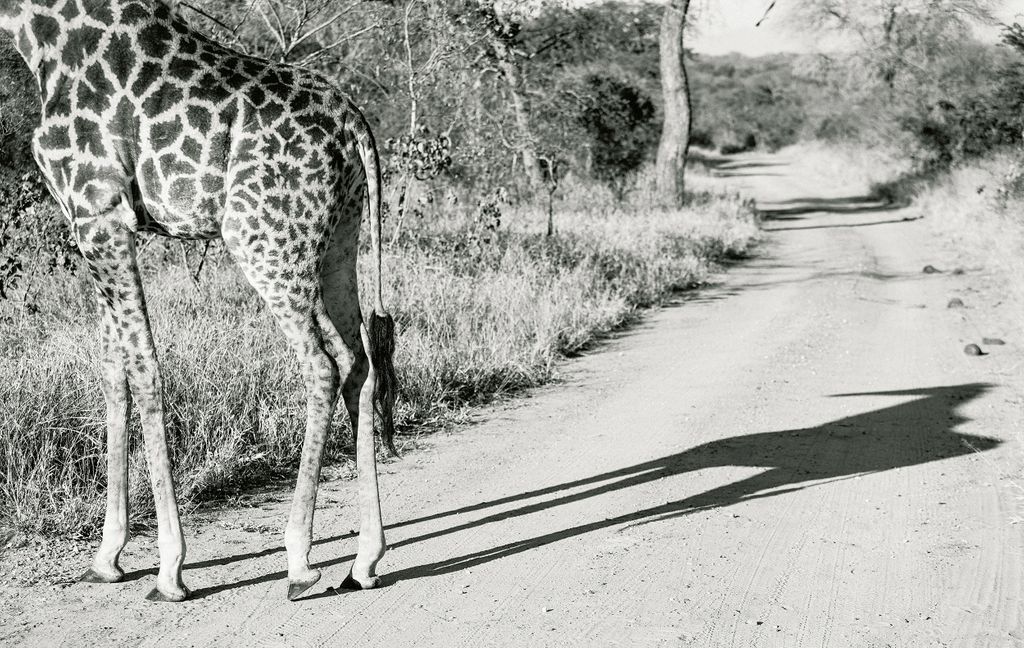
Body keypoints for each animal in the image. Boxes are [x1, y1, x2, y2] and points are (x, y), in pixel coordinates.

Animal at [0, 0, 398, 602]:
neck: (36, 32)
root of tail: (355, 125)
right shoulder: (92, 221)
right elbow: (113, 371)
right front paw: (107, 557)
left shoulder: (100, 214)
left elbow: (144, 371)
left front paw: (169, 568)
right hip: (339, 235)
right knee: (362, 363)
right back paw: (365, 560)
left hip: (260, 238)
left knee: (323, 364)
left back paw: (299, 560)